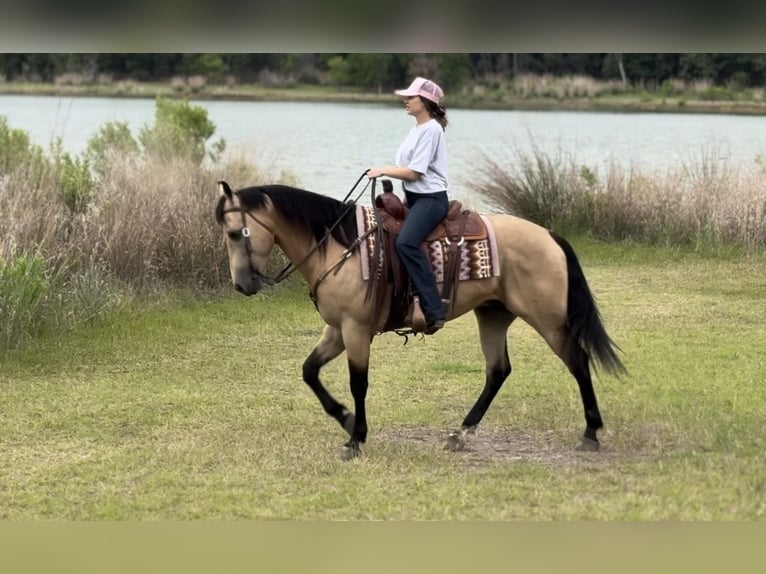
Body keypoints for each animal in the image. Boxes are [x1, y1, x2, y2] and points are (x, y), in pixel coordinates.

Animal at [215, 179, 625, 460]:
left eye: (235, 233)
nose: (241, 285)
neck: (339, 246)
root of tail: (549, 235)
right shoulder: (336, 329)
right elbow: (309, 371)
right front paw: (345, 419)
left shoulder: (356, 330)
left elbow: (358, 384)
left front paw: (356, 437)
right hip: (493, 314)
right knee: (498, 370)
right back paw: (461, 433)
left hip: (547, 319)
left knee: (577, 360)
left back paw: (590, 432)